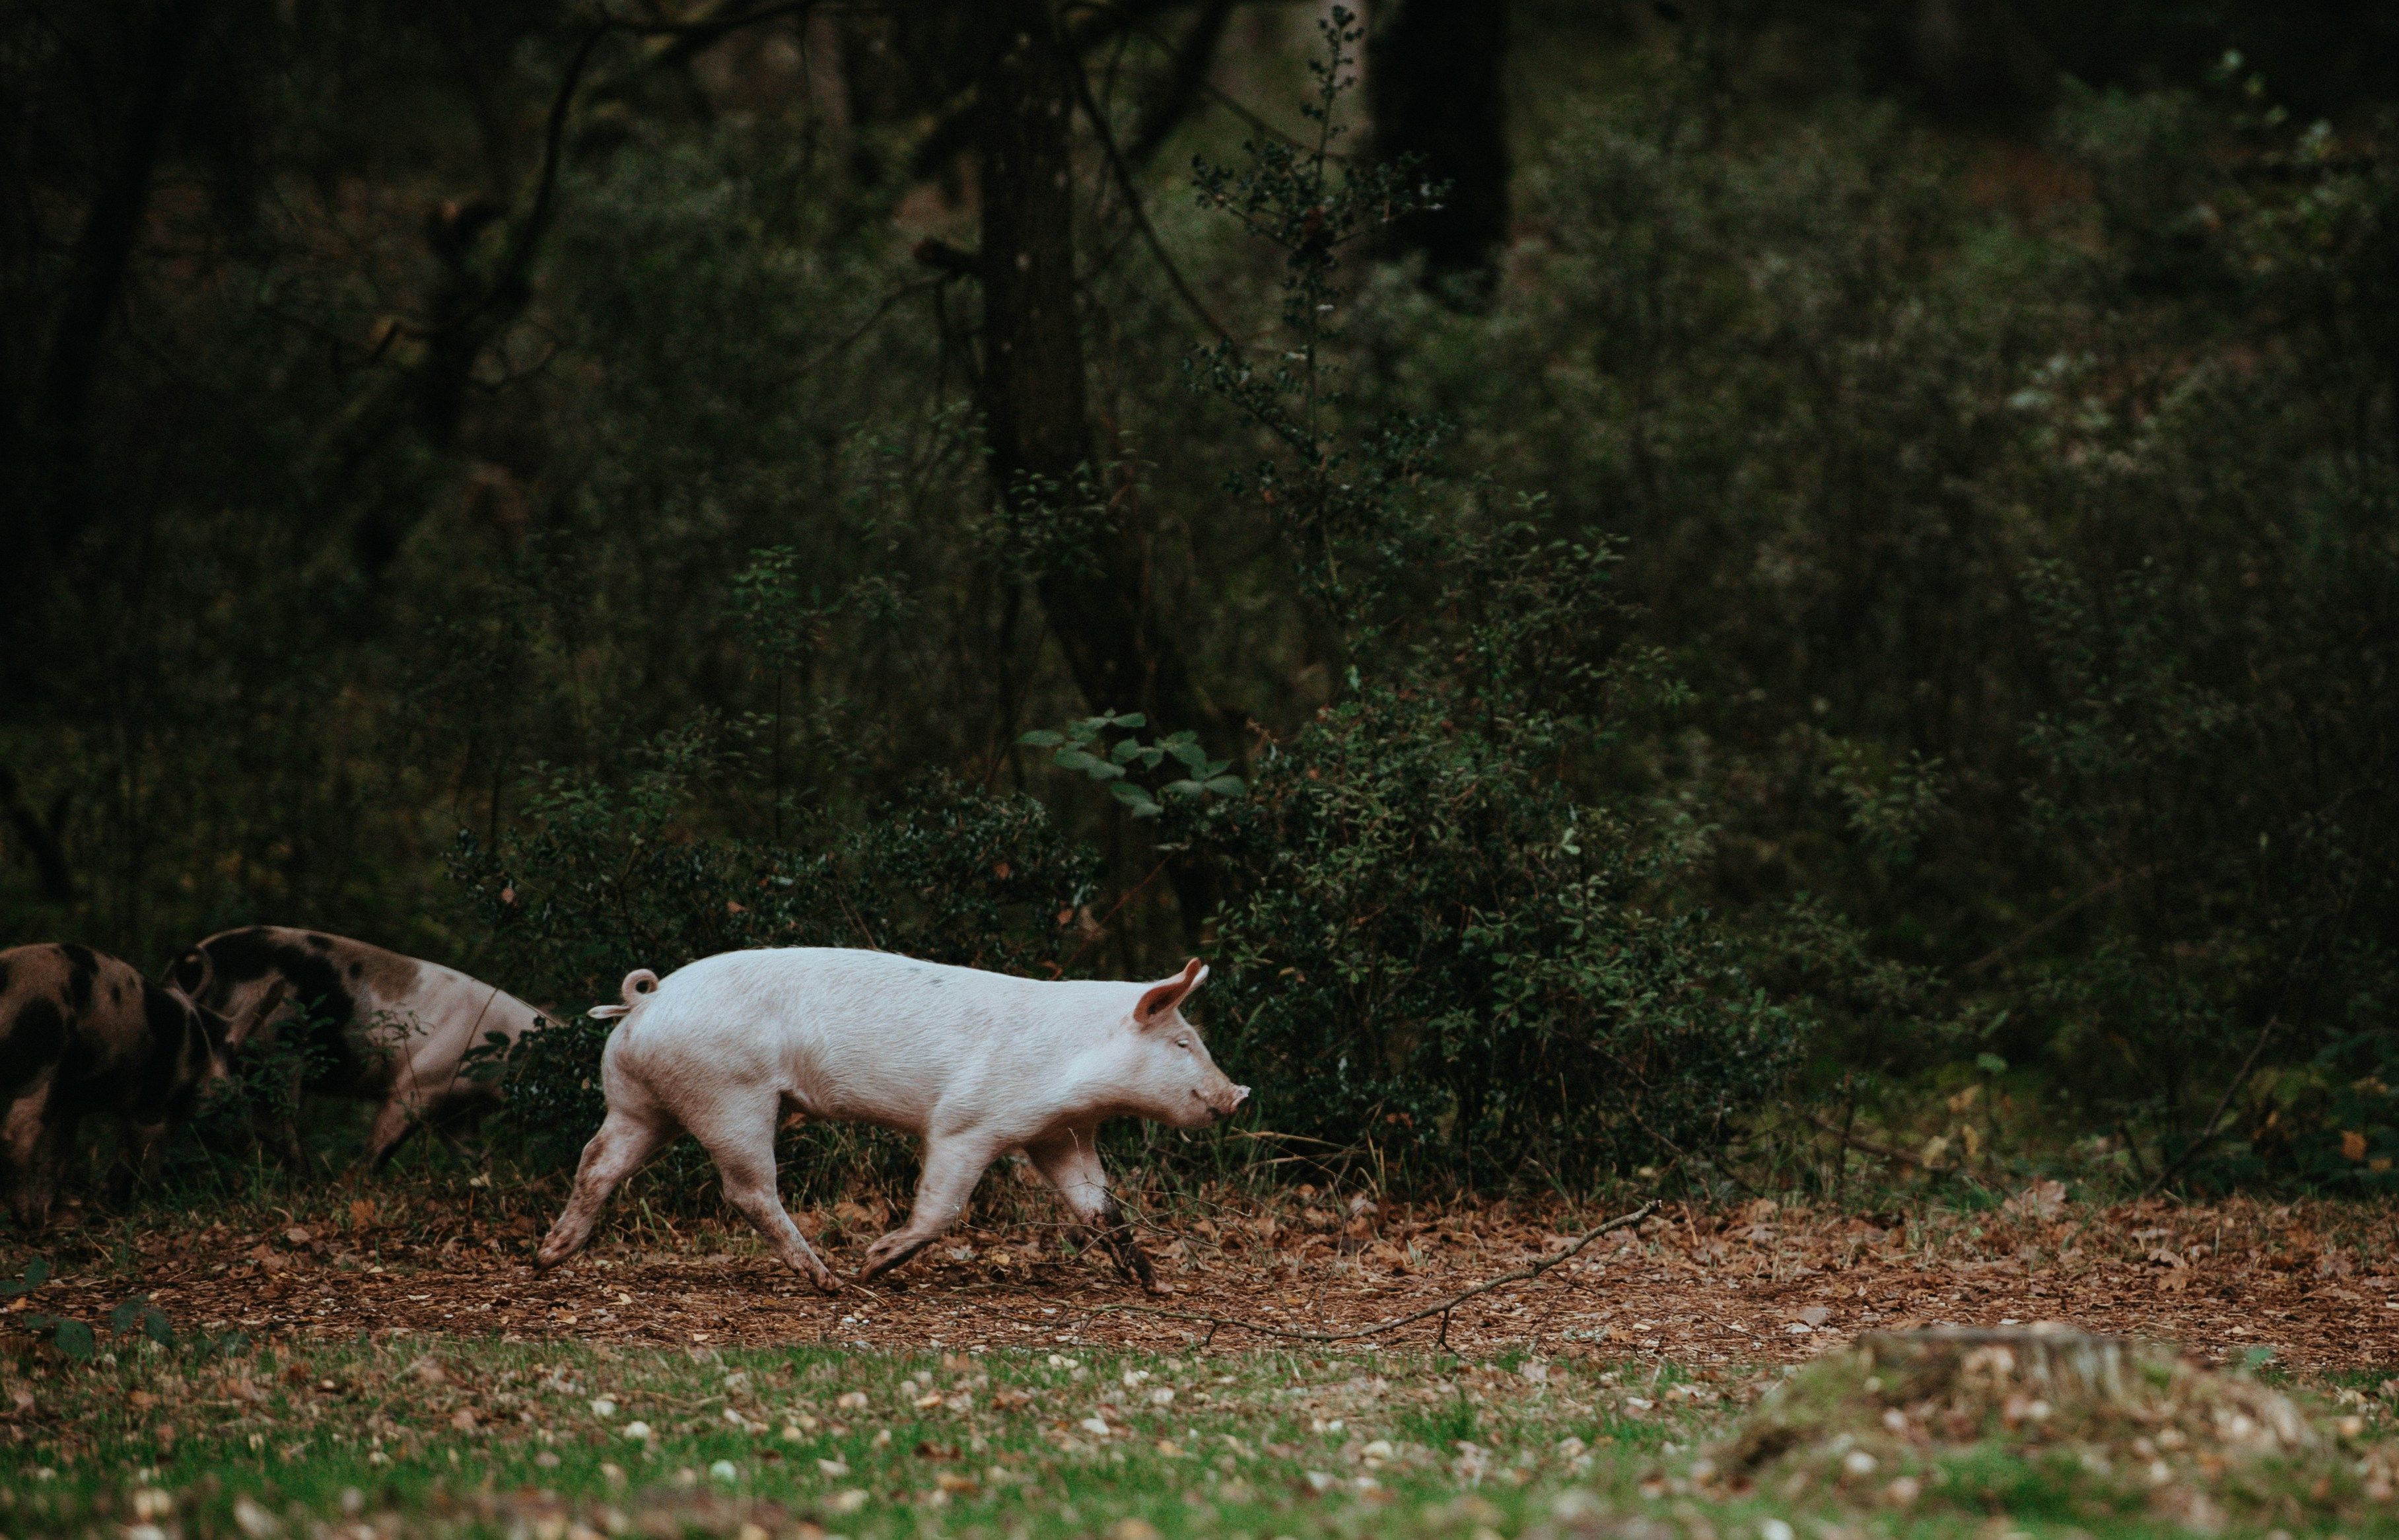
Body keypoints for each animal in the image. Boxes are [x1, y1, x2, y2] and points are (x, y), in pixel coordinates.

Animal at [0, 935, 285, 1223]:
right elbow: (145, 1157)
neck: (203, 1049)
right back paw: (27, 1221)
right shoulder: (152, 1105)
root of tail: (8, 978)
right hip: (43, 1061)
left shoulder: (73, 1103)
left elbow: (60, 1155)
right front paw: (146, 1203)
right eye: (237, 1088)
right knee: (19, 1133)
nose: (250, 1143)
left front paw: (55, 1209)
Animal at [168, 921, 544, 1161]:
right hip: (275, 1051)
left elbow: (475, 1159)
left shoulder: (457, 1113)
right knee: (272, 1128)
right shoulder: (417, 1085)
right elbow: (378, 1149)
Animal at [542, 940, 1247, 1285]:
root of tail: (647, 1001)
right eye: (1182, 1043)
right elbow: (943, 1206)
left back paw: (549, 1257)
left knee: (597, 1162)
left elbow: (1101, 1208)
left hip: (639, 1102)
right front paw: (876, 1263)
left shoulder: (1060, 1135)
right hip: (730, 1095)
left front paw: (1154, 1284)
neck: (1073, 1068)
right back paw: (830, 1279)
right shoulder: (966, 1124)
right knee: (747, 1191)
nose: (1238, 1095)